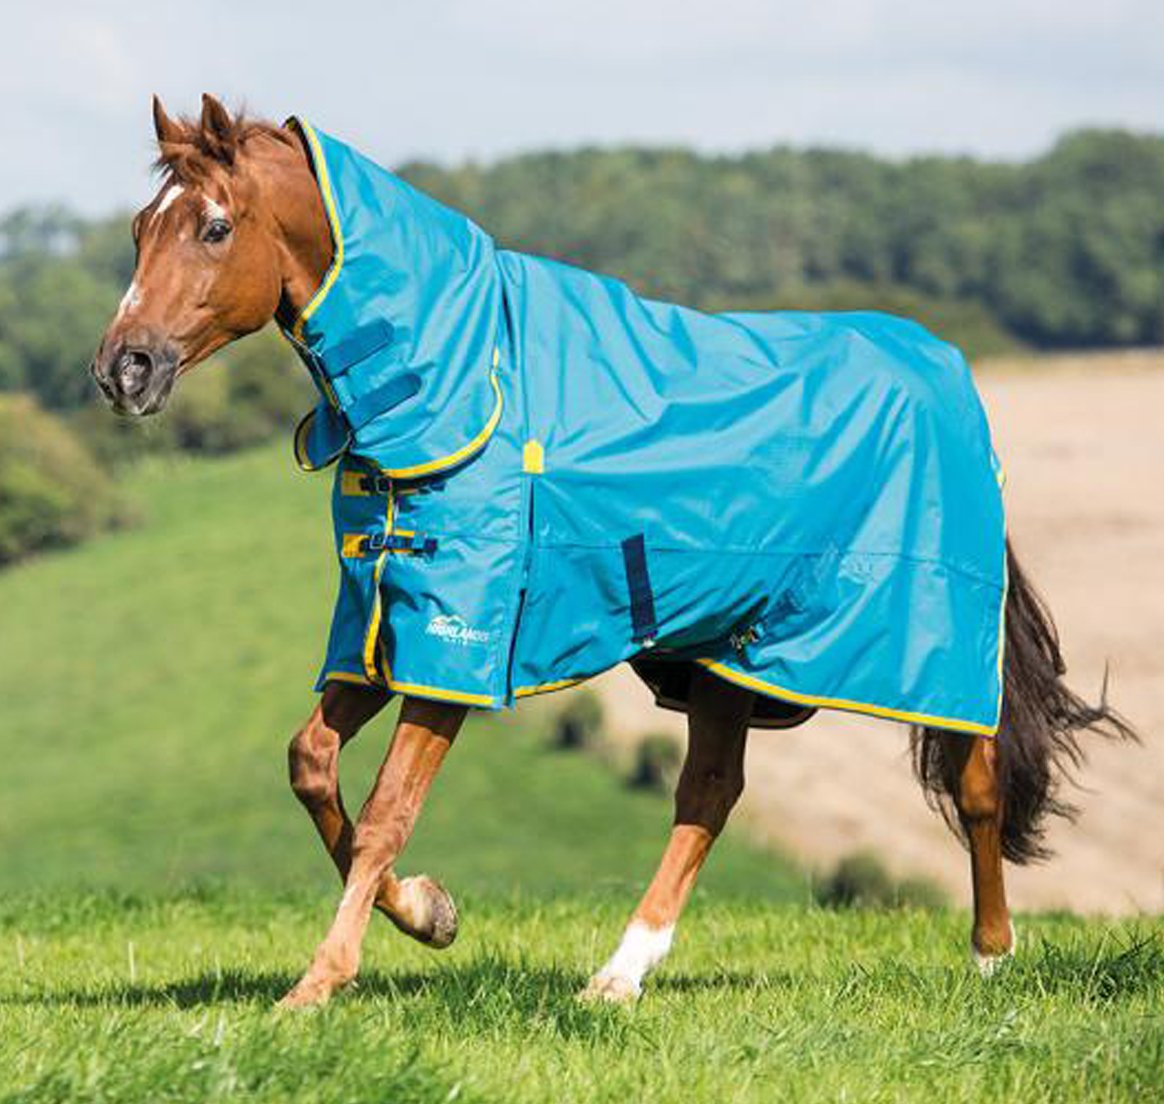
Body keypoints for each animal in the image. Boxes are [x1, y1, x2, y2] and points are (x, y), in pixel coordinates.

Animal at [91, 95, 1136, 1009]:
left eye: (214, 227)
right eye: (141, 228)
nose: (121, 368)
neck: (466, 374)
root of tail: (950, 374)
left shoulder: (458, 645)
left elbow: (388, 810)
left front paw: (318, 983)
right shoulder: (381, 619)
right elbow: (311, 764)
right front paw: (431, 913)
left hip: (929, 639)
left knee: (975, 783)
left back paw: (991, 958)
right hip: (727, 654)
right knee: (710, 794)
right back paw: (620, 975)